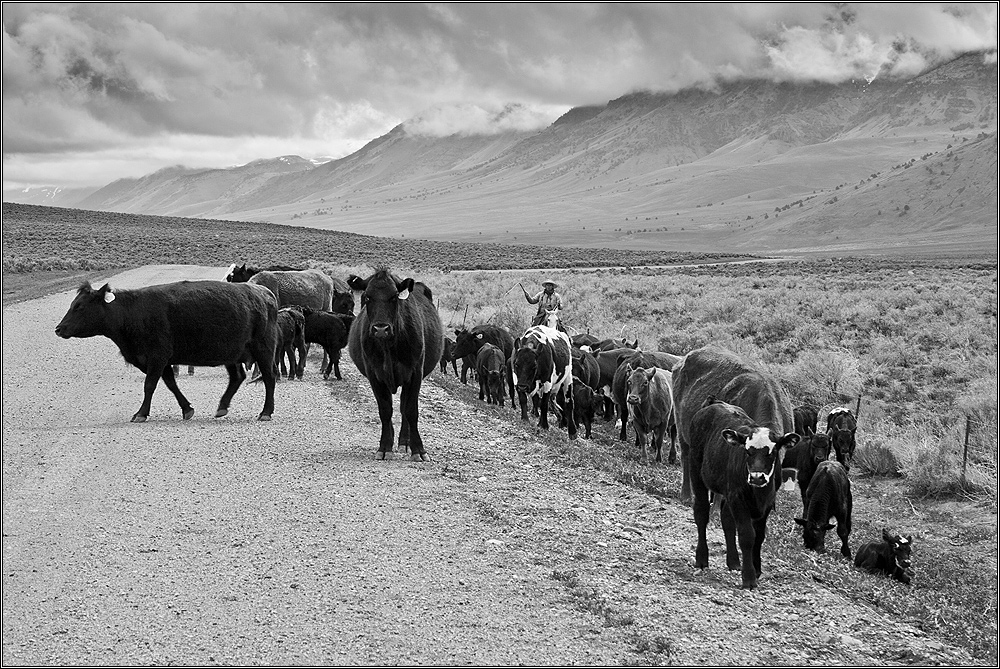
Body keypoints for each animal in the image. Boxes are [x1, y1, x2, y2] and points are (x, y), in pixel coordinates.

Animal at [348, 266, 442, 460]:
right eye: (367, 297)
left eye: (393, 297)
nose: (380, 329)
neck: (388, 347)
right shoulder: (374, 374)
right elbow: (385, 410)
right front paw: (384, 447)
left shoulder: (415, 373)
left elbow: (411, 411)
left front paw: (418, 450)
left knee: (404, 408)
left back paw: (405, 442)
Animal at [688, 400, 796, 588]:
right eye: (747, 451)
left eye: (773, 452)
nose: (757, 477)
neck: (759, 493)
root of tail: (714, 403)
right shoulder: (738, 498)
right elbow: (747, 535)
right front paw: (749, 577)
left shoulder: (767, 503)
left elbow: (759, 536)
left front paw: (757, 568)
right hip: (696, 471)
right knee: (701, 512)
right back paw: (701, 558)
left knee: (726, 519)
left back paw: (733, 561)